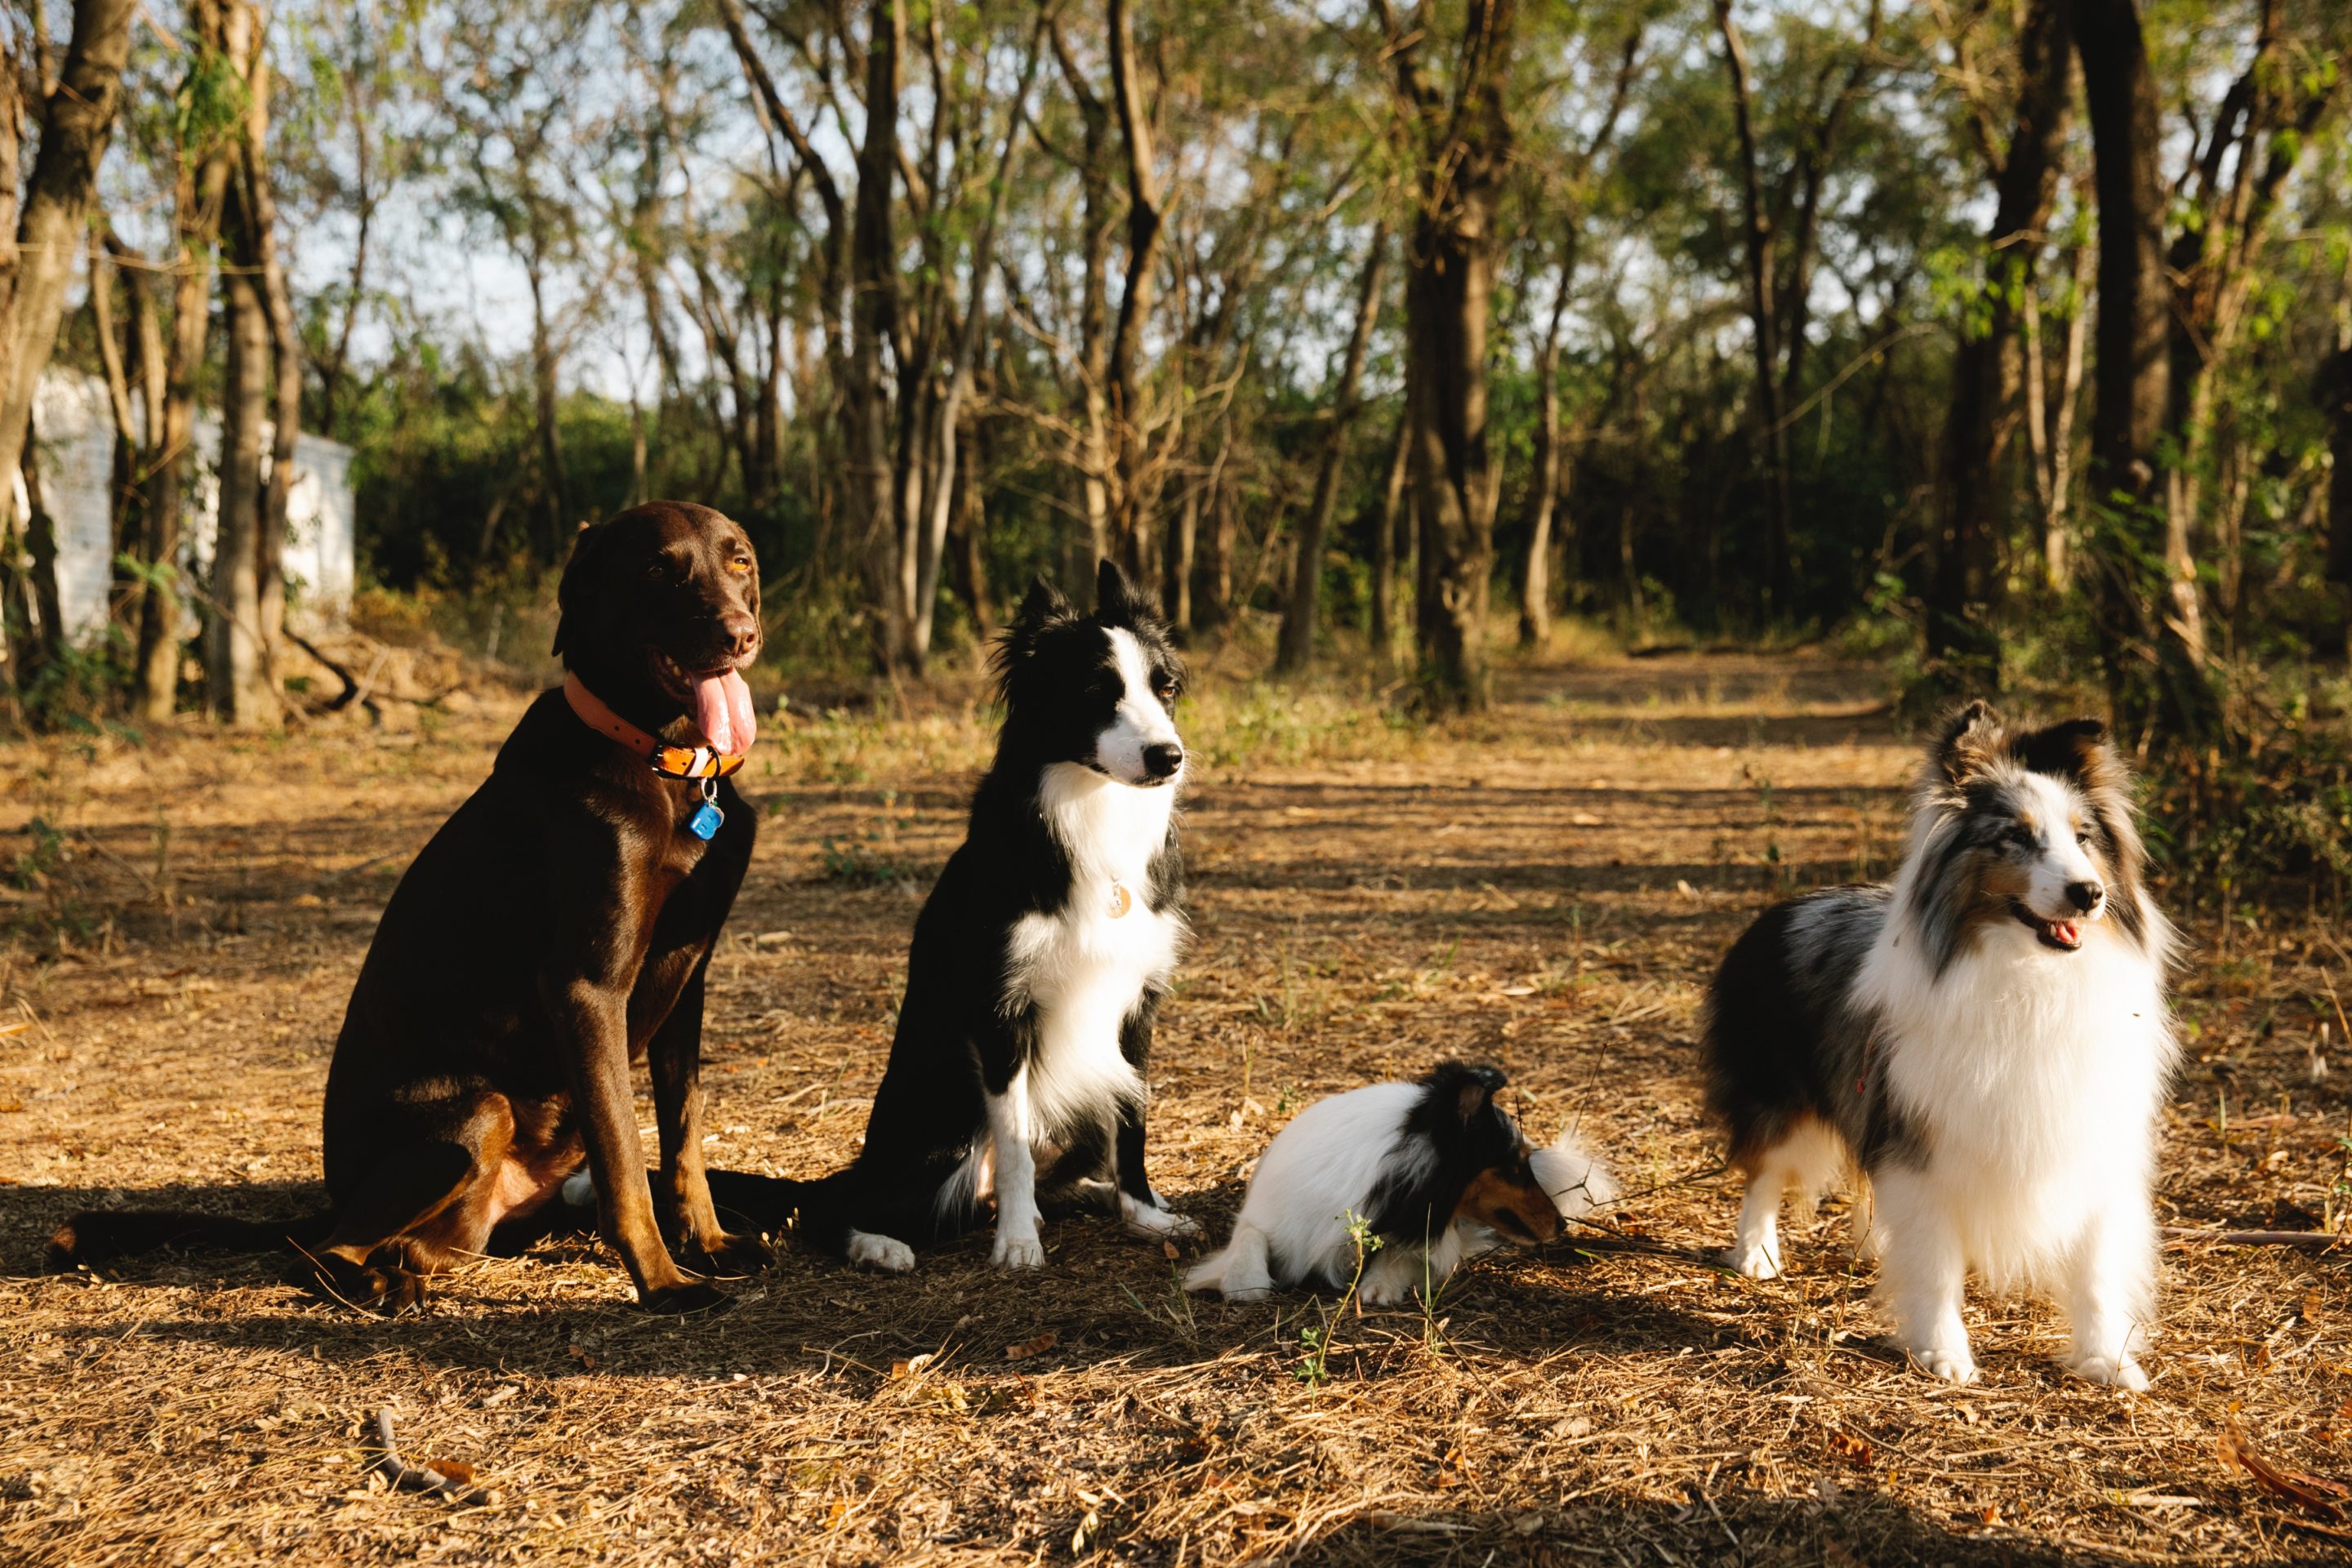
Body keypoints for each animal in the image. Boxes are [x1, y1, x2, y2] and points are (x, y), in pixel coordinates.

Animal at [52, 503, 771, 1316]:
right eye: (656, 568)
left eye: (739, 561)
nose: (740, 635)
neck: (670, 768)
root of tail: (333, 1200)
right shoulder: (589, 989)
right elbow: (624, 1156)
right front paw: (662, 1283)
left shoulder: (688, 980)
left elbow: (684, 1138)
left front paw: (708, 1243)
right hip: (475, 1115)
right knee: (316, 1252)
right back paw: (375, 1284)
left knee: (404, 1245)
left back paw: (403, 1268)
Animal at [1185, 1062, 1608, 1307]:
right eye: (1516, 1166)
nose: (1562, 1226)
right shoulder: (1272, 1218)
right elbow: (1248, 1239)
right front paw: (1246, 1282)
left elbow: (1403, 1253)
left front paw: (1380, 1282)